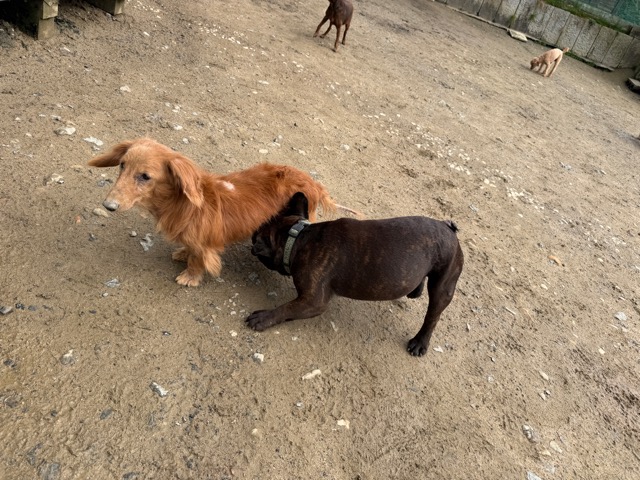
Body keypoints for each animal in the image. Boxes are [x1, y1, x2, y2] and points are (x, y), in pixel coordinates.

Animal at [87, 138, 343, 287]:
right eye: (122, 165)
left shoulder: (204, 245)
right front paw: (181, 253)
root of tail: (313, 183)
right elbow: (188, 250)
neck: (183, 205)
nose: (108, 205)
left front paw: (189, 278)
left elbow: (196, 261)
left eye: (145, 176)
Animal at [247, 192, 464, 356]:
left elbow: (286, 308)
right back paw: (414, 290)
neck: (297, 238)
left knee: (432, 317)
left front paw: (264, 317)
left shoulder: (313, 301)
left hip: (443, 286)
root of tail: (449, 228)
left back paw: (420, 342)